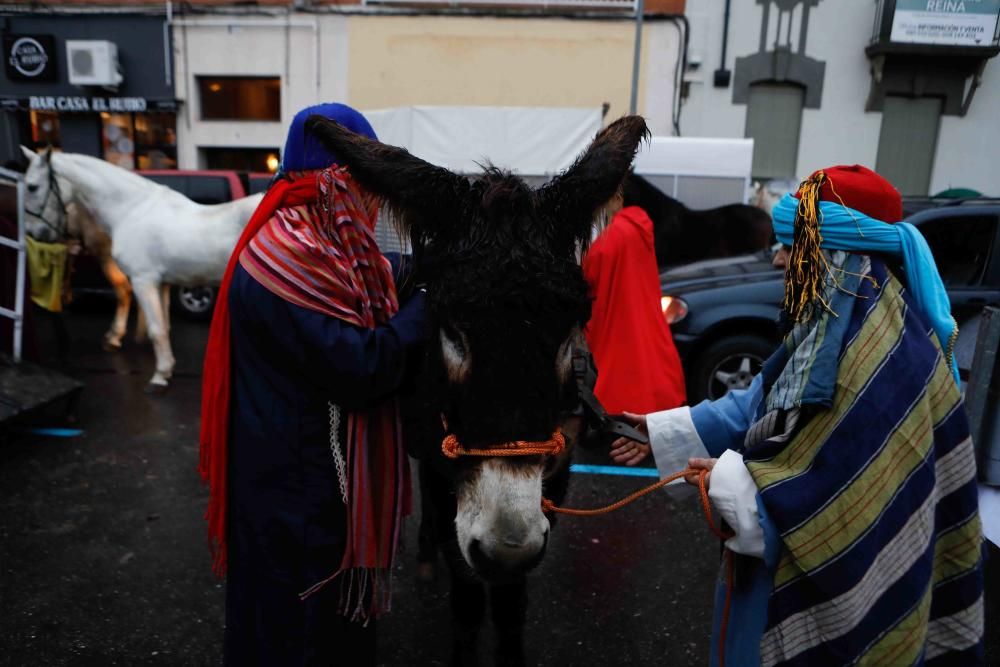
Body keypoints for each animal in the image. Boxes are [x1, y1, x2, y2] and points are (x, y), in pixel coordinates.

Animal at [22, 146, 264, 392]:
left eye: (32, 186)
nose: (33, 233)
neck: (131, 210)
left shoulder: (143, 280)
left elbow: (156, 329)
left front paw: (159, 376)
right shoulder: (162, 282)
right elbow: (164, 326)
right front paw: (167, 369)